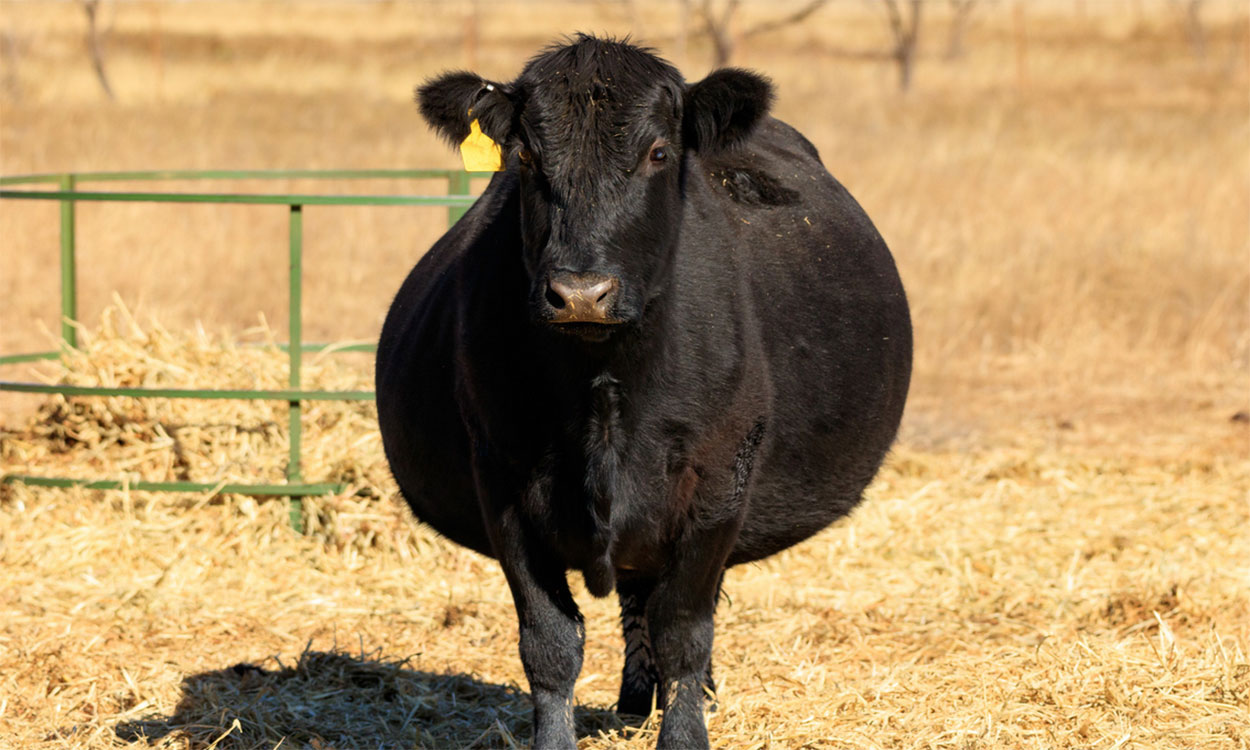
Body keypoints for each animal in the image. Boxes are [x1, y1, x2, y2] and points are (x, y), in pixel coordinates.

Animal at [375, 35, 915, 750]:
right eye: (525, 155)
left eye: (658, 152)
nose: (581, 293)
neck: (603, 385)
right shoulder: (503, 484)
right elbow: (550, 643)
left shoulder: (717, 481)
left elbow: (684, 629)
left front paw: (686, 732)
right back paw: (634, 704)